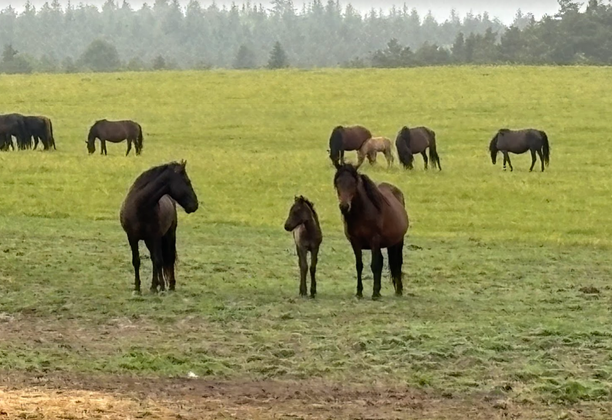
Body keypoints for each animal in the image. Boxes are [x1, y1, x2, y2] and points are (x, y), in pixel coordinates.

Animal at [118, 161, 197, 296]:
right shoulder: (132, 238)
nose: (195, 205)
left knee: (167, 258)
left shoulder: (154, 237)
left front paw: (154, 287)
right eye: (187, 181)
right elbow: (137, 261)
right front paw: (137, 288)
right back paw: (161, 285)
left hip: (169, 234)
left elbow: (157, 260)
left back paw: (169, 285)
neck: (140, 206)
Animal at [332, 162, 408, 300]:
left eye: (354, 182)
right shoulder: (355, 242)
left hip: (398, 241)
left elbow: (375, 265)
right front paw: (359, 292)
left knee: (397, 262)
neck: (362, 214)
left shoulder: (374, 241)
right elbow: (359, 266)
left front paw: (375, 293)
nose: (344, 206)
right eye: (337, 182)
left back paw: (398, 290)